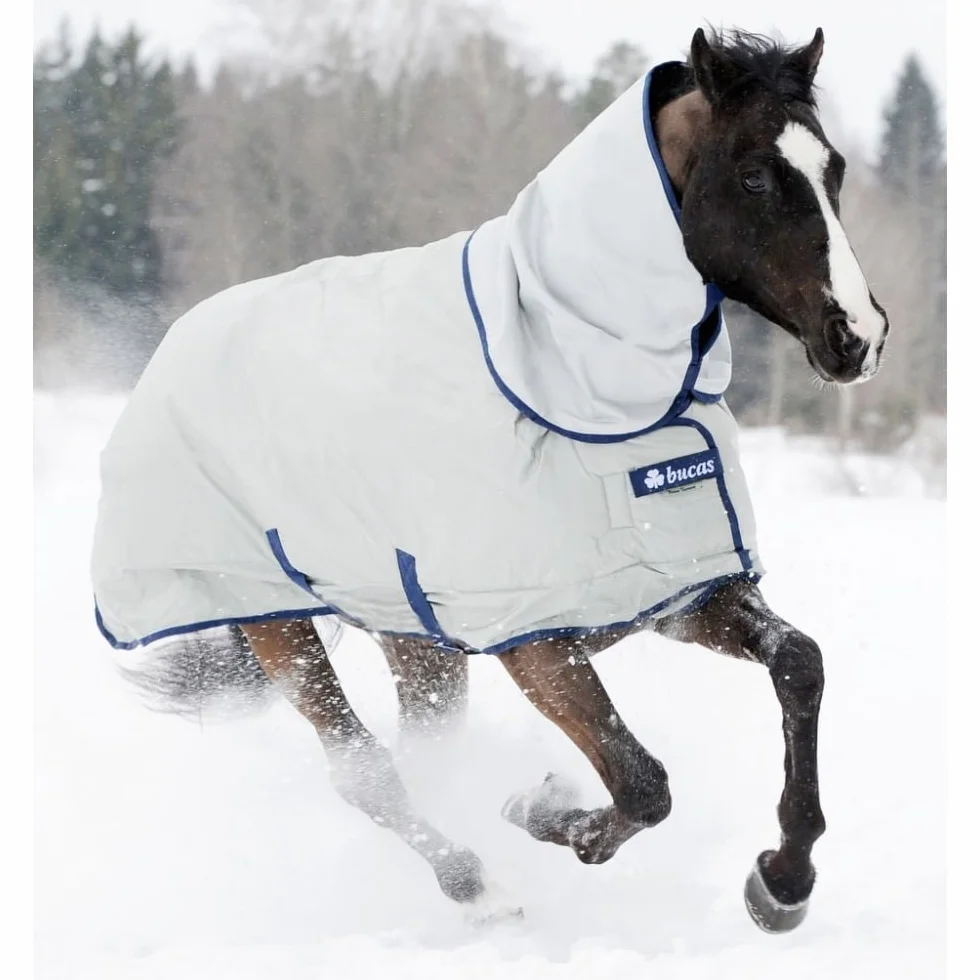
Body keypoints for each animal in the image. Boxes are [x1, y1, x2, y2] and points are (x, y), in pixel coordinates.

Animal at [93, 27, 889, 934]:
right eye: (754, 175)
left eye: (833, 169)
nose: (857, 337)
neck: (577, 374)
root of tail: (175, 348)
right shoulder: (537, 640)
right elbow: (642, 783)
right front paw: (542, 810)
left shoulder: (680, 592)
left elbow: (800, 664)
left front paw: (782, 883)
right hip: (278, 626)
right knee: (365, 772)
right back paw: (481, 890)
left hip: (416, 641)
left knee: (418, 755)